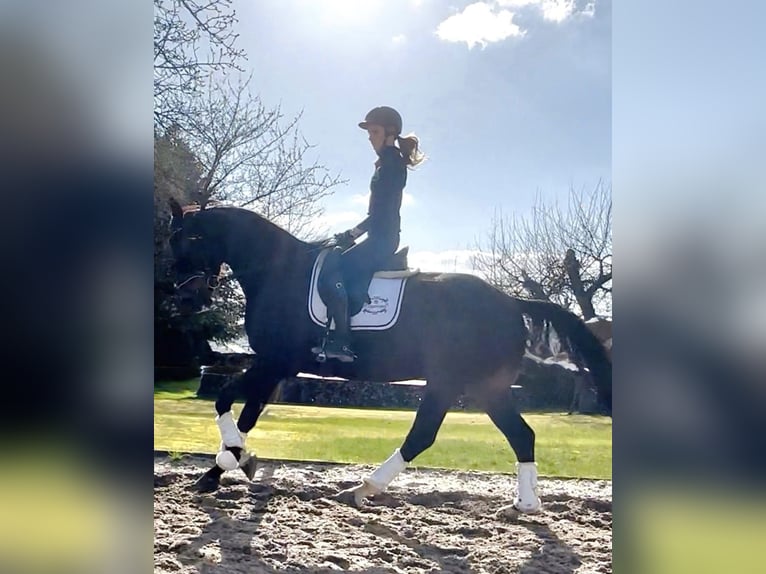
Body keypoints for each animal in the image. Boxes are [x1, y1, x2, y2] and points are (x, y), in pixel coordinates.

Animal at [167, 199, 612, 512]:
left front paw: (228, 464)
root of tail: (509, 300)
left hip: (451, 381)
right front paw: (229, 466)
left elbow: (226, 400)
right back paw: (525, 505)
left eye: (187, 241)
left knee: (424, 434)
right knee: (521, 435)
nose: (186, 302)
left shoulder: (273, 361)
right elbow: (246, 416)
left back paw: (364, 488)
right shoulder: (273, 366)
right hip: (487, 388)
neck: (278, 271)